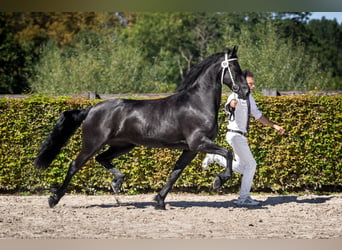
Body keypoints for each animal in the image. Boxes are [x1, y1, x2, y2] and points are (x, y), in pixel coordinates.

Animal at [34, 46, 248, 209]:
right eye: (235, 68)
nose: (245, 91)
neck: (196, 103)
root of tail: (91, 109)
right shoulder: (199, 143)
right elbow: (228, 153)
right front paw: (219, 180)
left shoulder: (190, 149)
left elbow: (175, 173)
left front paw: (159, 201)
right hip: (93, 143)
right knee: (75, 165)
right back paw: (54, 199)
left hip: (124, 145)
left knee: (102, 158)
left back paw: (117, 182)